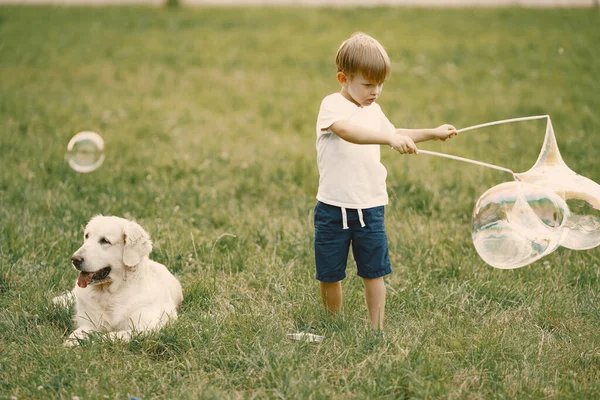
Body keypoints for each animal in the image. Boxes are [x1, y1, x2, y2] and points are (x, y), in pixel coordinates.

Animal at [56, 216, 183, 346]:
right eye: (87, 236)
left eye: (105, 241)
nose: (74, 259)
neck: (111, 293)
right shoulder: (88, 323)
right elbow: (76, 334)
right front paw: (71, 342)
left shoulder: (144, 328)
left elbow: (109, 336)